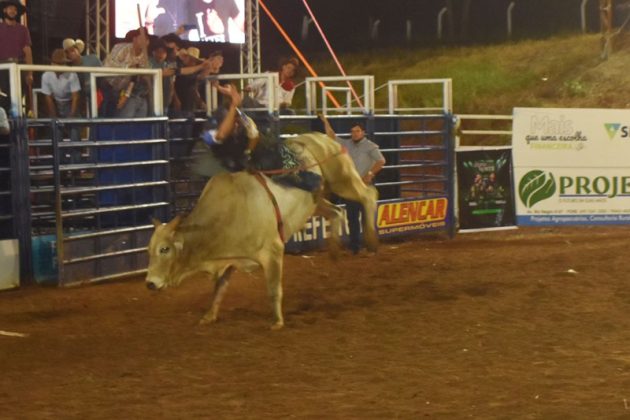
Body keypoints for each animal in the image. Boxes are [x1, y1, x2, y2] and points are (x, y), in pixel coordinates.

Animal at [146, 132, 378, 329]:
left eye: (165, 249)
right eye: (149, 250)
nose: (149, 283)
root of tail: (322, 137)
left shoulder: (273, 251)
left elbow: (273, 289)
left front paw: (277, 321)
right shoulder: (230, 257)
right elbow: (219, 289)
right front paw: (209, 316)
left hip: (343, 178)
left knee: (368, 195)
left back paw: (371, 241)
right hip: (317, 199)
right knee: (337, 212)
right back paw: (335, 252)